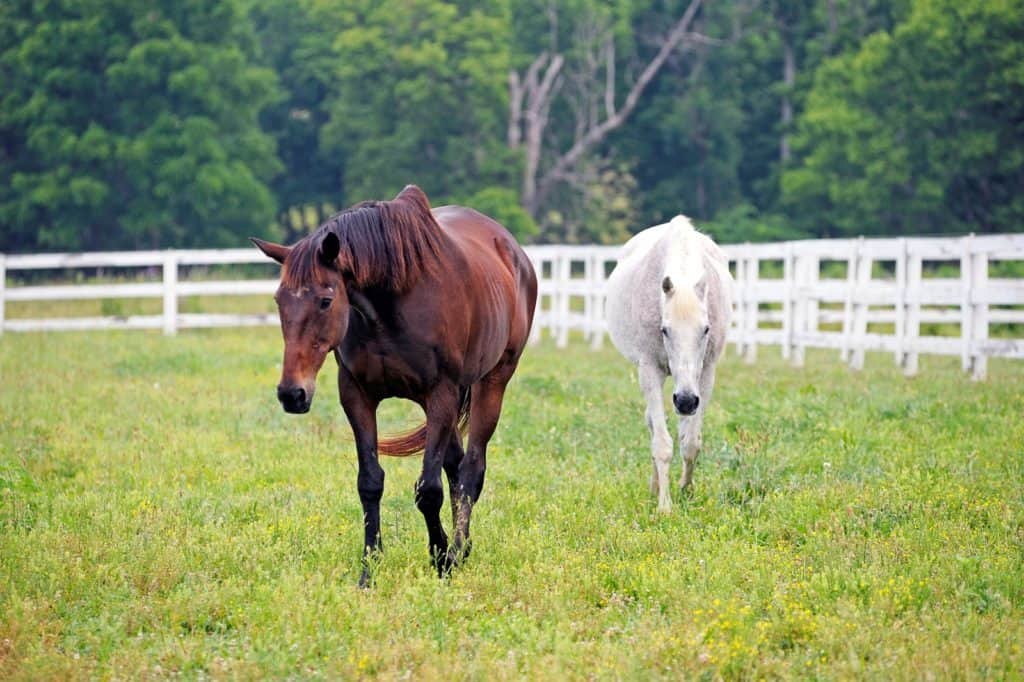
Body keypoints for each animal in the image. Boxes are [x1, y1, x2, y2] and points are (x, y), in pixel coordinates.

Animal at [250, 186, 536, 585]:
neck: (391, 303)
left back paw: (459, 549)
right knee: (454, 466)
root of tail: (512, 250)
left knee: (470, 471)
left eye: (325, 300)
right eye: (279, 300)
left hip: (492, 382)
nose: (292, 394)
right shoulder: (357, 395)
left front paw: (442, 561)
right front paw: (369, 571)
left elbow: (428, 490)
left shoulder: (441, 393)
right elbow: (371, 483)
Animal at [602, 215, 733, 507]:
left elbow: (691, 442)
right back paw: (654, 488)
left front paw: (686, 490)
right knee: (653, 424)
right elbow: (661, 444)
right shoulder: (649, 369)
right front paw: (665, 506)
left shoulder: (706, 374)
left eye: (706, 329)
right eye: (664, 330)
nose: (685, 401)